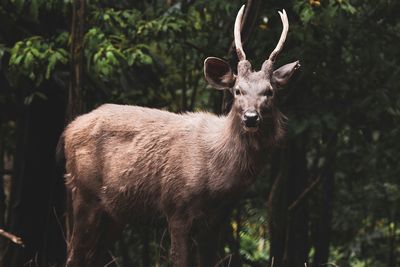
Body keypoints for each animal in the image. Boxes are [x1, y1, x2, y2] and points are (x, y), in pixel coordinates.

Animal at [57, 4, 298, 267]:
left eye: (270, 91)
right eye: (237, 90)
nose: (251, 117)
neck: (217, 176)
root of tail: (68, 130)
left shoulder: (218, 220)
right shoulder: (176, 207)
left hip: (114, 212)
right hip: (84, 193)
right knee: (73, 255)